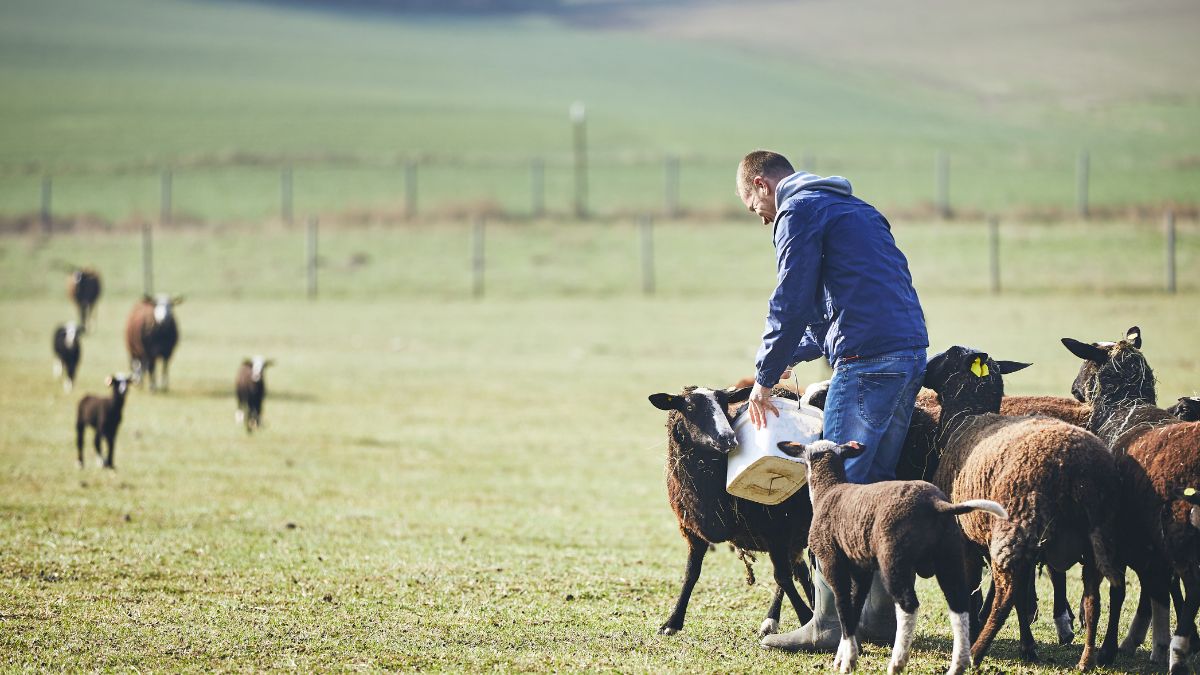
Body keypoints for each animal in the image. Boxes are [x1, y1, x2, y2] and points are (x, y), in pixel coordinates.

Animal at [648, 384, 816, 634]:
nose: (727, 438)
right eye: (690, 407)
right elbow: (690, 574)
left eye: (725, 403)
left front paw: (805, 617)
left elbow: (782, 577)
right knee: (801, 569)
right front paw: (672, 623)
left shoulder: (776, 529)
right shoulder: (692, 531)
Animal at [777, 437, 1003, 672]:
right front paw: (843, 655)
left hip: (895, 560)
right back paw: (957, 665)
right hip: (949, 555)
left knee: (908, 605)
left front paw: (848, 662)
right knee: (959, 606)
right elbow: (855, 608)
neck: (828, 490)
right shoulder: (862, 570)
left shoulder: (832, 561)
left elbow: (843, 608)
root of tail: (936, 504)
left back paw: (897, 662)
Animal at [916, 345, 1123, 667]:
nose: (923, 367)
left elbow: (973, 590)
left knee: (1006, 595)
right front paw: (1027, 646)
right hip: (1095, 534)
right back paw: (1087, 660)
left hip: (1016, 527)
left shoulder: (964, 537)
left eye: (949, 353)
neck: (967, 417)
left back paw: (976, 653)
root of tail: (1077, 466)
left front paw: (976, 634)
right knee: (1093, 599)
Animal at [1065, 326, 1200, 667]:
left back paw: (1180, 651)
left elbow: (1118, 590)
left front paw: (1107, 650)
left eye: (1089, 359)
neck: (1124, 406)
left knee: (1190, 587)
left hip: (1178, 535)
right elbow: (1152, 588)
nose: (1074, 389)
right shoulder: (1143, 541)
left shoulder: (1114, 532)